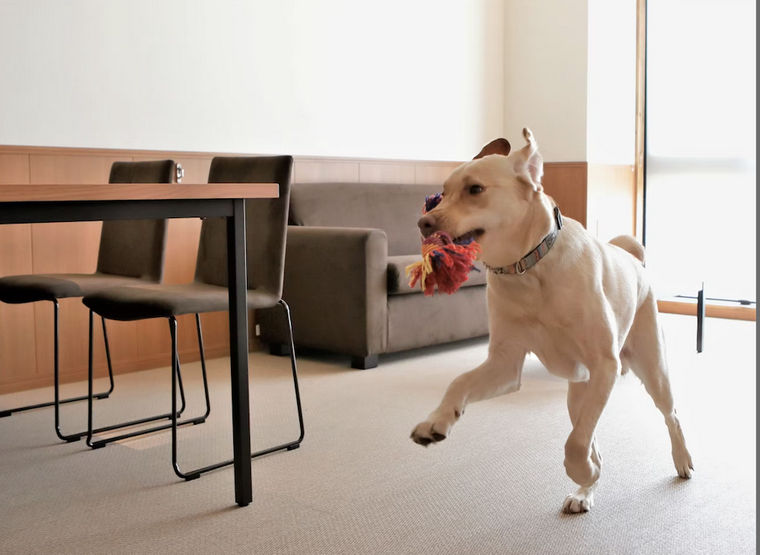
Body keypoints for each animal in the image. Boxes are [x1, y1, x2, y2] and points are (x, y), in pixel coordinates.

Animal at [412, 129, 692, 512]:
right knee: (590, 435)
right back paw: (585, 491)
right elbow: (459, 382)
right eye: (442, 193)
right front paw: (436, 420)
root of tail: (633, 259)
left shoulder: (605, 364)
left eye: (475, 189)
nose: (424, 222)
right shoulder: (505, 364)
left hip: (650, 368)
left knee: (669, 414)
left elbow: (575, 446)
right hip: (580, 394)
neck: (528, 270)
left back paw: (680, 459)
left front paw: (581, 470)